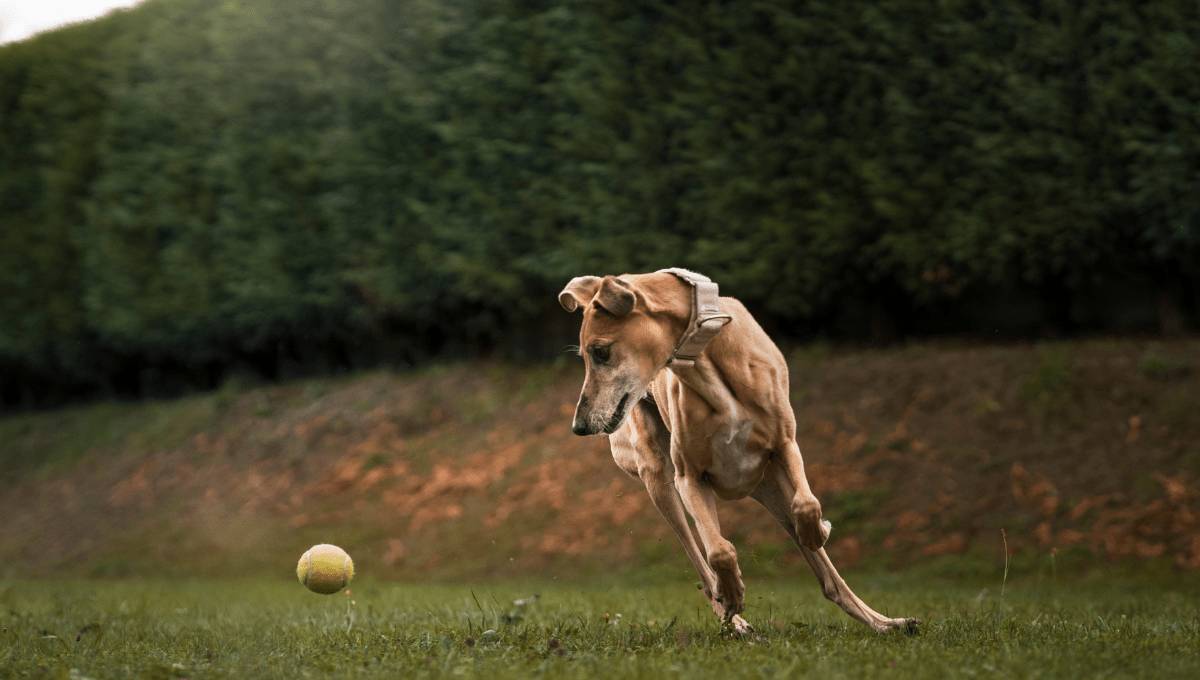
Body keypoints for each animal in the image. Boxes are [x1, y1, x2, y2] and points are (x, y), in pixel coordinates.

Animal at [559, 268, 916, 638]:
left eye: (600, 352)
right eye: (586, 355)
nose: (580, 426)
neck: (707, 363)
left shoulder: (786, 445)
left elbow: (807, 505)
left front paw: (820, 530)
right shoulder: (689, 478)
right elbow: (719, 551)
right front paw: (732, 595)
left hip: (771, 485)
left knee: (828, 577)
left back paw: (886, 622)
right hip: (659, 478)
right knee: (702, 563)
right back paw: (735, 618)